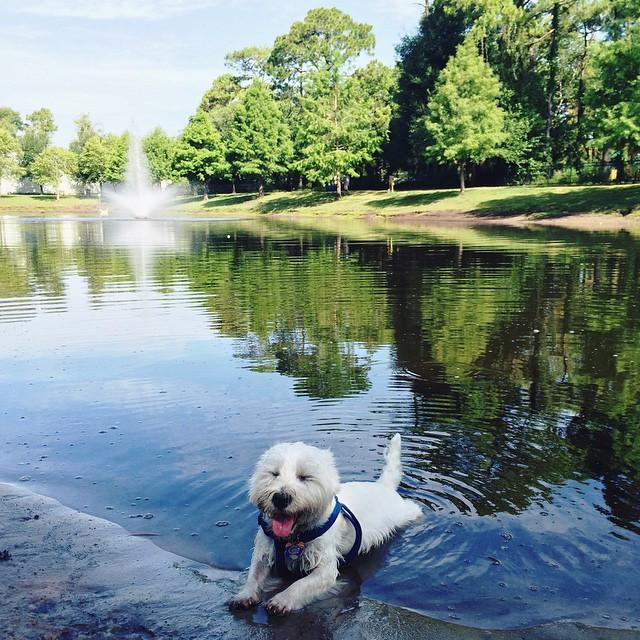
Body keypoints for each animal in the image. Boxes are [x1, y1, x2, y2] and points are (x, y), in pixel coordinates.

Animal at [229, 436, 420, 616]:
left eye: (305, 477)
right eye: (274, 473)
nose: (280, 498)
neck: (294, 536)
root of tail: (384, 486)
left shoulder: (325, 566)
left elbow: (301, 584)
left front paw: (281, 601)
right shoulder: (265, 551)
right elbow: (254, 574)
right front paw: (244, 595)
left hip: (402, 513)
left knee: (414, 509)